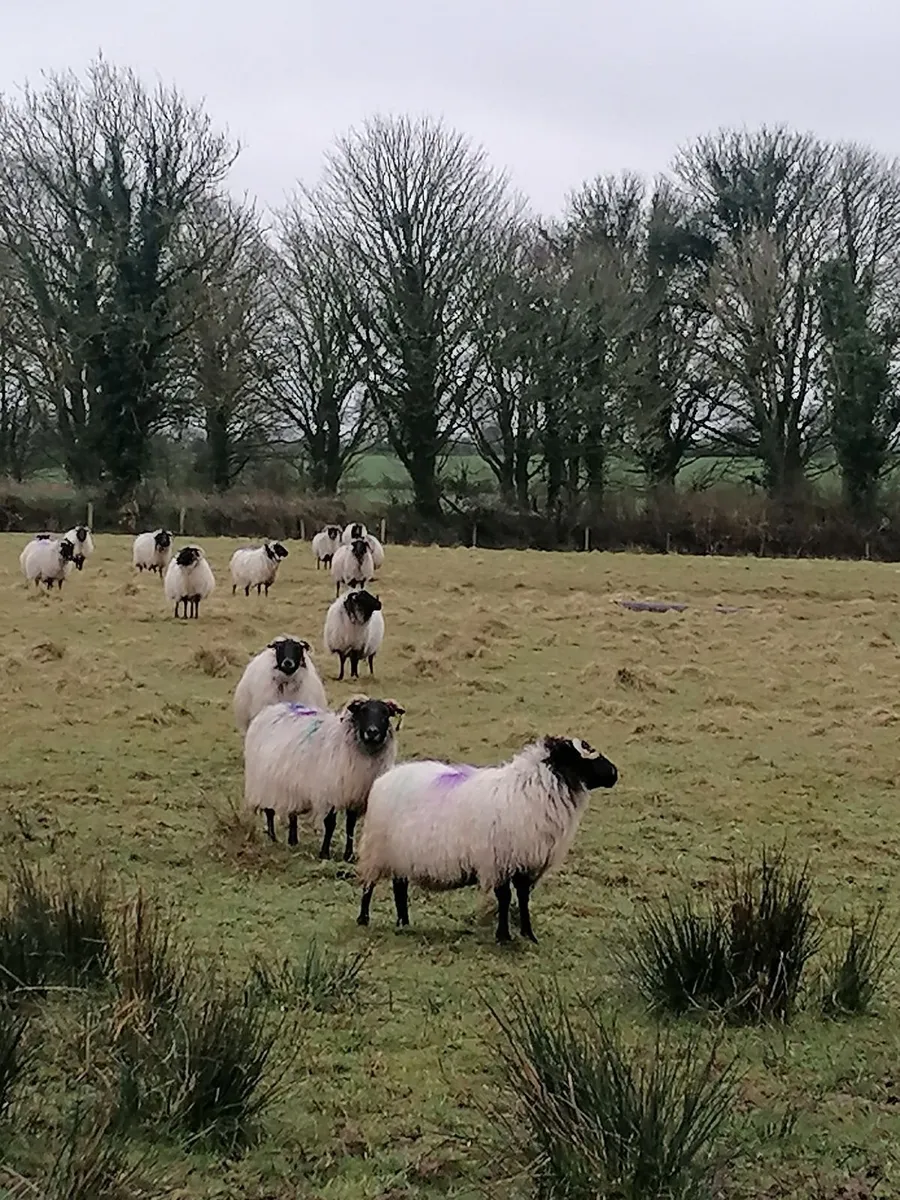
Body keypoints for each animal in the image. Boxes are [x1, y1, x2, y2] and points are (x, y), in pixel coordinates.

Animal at [244, 694, 405, 861]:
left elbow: (350, 826)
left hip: (291, 784)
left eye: (386, 713)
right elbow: (330, 824)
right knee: (269, 811)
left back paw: (293, 841)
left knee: (292, 813)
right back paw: (273, 838)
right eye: (362, 711)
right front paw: (325, 853)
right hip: (264, 782)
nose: (372, 732)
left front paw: (348, 856)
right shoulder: (330, 793)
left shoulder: (354, 794)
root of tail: (271, 709)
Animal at [355, 735, 619, 943]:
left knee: (399, 887)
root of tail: (385, 777)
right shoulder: (499, 860)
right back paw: (363, 919)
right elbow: (504, 898)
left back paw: (404, 922)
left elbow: (523, 898)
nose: (615, 773)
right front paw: (503, 936)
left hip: (400, 853)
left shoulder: (524, 860)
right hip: (376, 848)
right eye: (583, 755)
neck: (535, 789)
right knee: (369, 884)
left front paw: (528, 935)